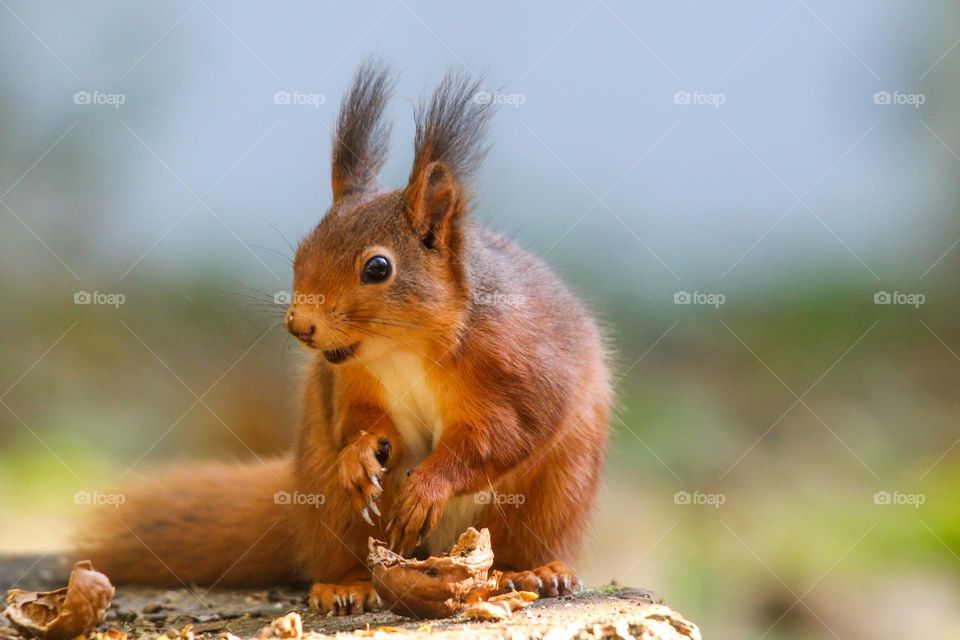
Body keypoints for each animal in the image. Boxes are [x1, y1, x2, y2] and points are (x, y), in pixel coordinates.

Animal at [76, 60, 612, 616]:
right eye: (302, 251)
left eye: (378, 268)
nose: (299, 325)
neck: (405, 349)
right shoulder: (351, 380)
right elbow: (359, 422)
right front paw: (360, 454)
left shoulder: (517, 368)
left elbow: (500, 436)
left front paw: (428, 487)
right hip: (329, 498)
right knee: (343, 549)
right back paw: (345, 585)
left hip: (552, 492)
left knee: (518, 541)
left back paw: (535, 571)